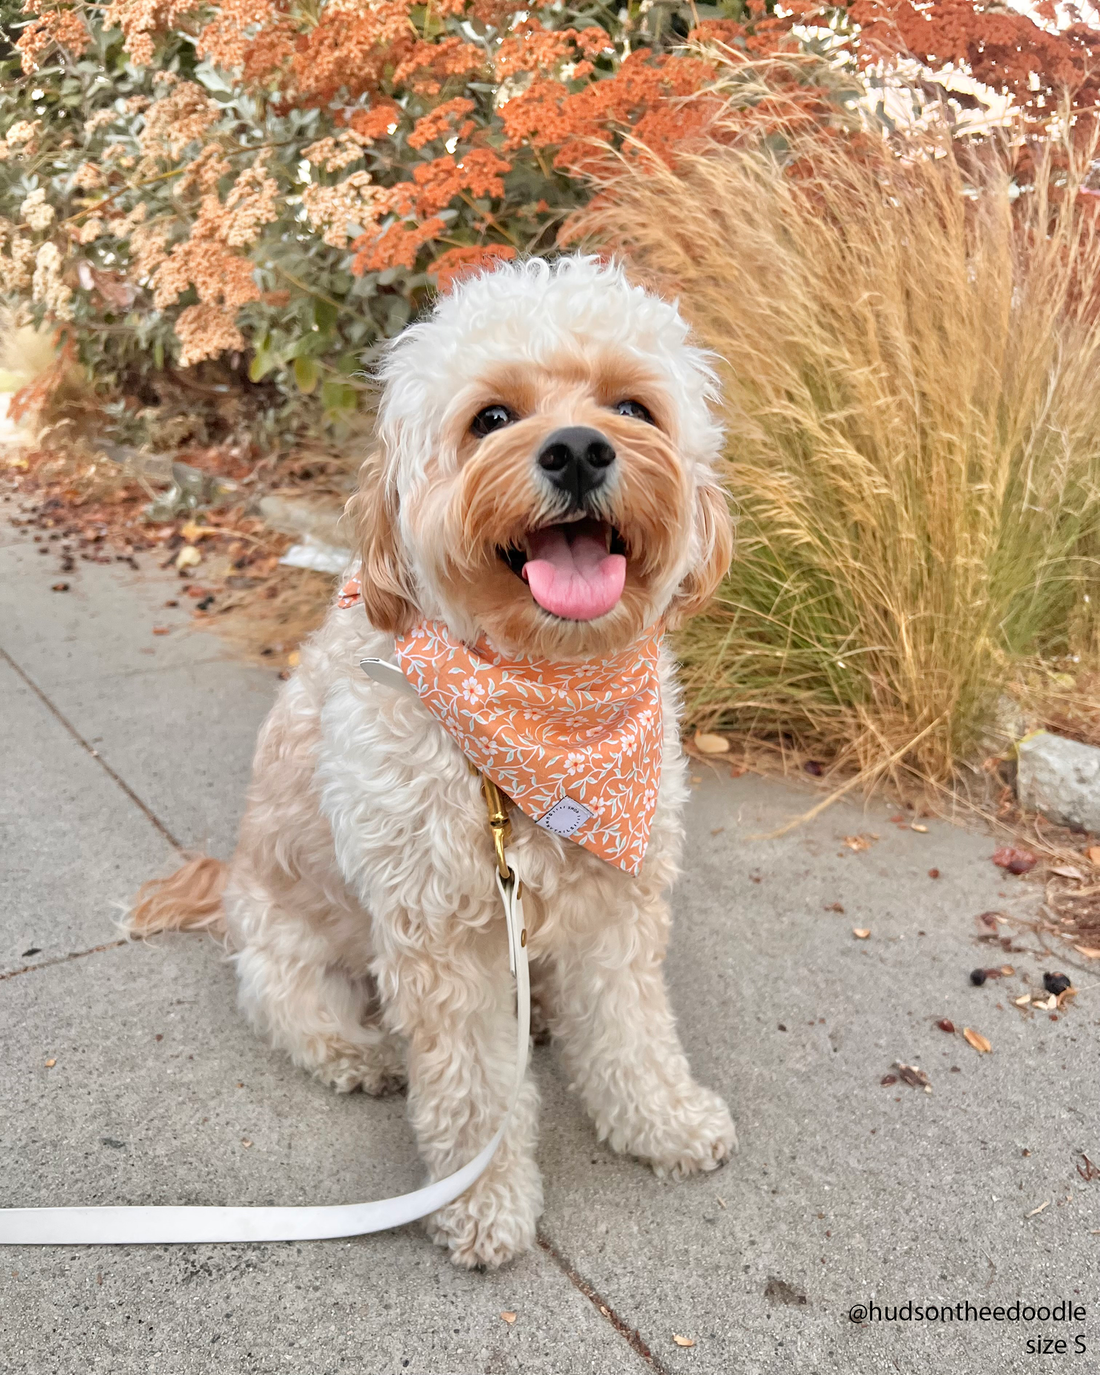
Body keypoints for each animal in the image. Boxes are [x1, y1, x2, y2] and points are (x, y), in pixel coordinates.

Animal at [133, 255, 737, 1265]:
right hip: (291, 945)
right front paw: (484, 1202)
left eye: (633, 406)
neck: (547, 699)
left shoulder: (618, 905)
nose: (579, 449)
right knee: (294, 1010)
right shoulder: (438, 936)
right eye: (490, 417)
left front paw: (661, 1120)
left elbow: (633, 1030)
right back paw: (360, 1053)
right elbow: (471, 1090)